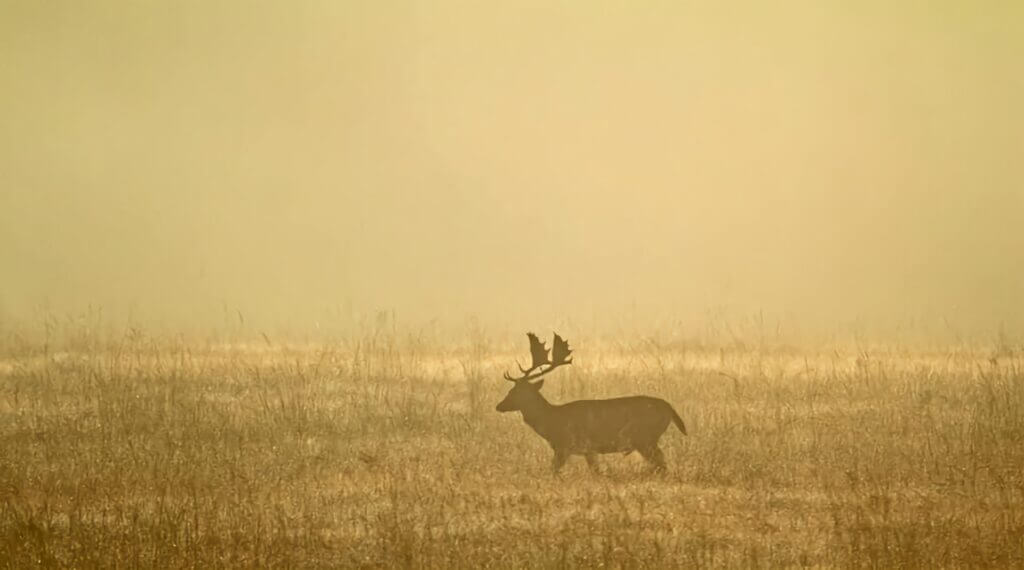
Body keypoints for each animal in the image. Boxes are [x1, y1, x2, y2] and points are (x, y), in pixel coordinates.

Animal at [495, 331, 688, 472]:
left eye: (514, 392)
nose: (499, 405)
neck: (552, 421)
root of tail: (670, 408)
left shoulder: (567, 446)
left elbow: (554, 471)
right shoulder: (588, 451)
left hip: (645, 438)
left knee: (661, 464)